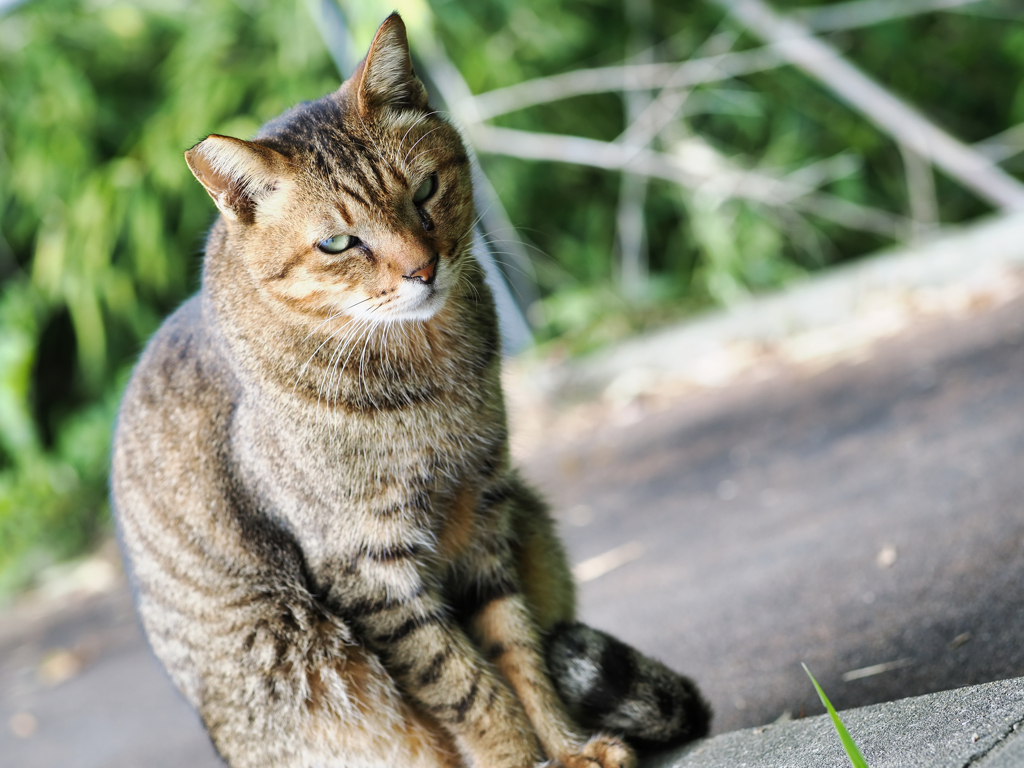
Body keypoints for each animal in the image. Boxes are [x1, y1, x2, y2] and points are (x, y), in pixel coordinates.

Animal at [108, 13, 708, 768]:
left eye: (424, 191)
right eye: (338, 243)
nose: (423, 268)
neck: (426, 373)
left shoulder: (481, 519)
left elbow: (517, 653)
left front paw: (566, 748)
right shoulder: (369, 568)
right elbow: (467, 686)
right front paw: (521, 757)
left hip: (528, 514)